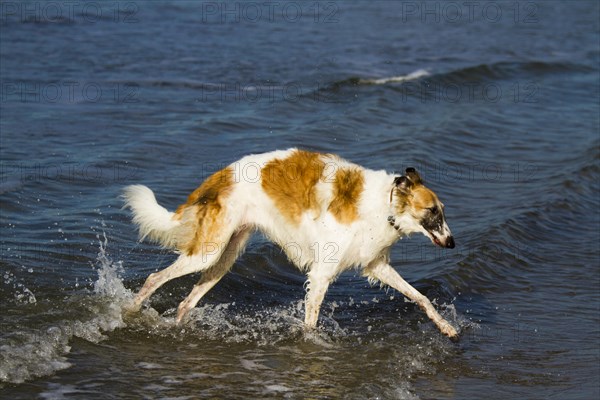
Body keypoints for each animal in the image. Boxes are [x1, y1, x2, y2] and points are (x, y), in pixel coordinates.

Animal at [124, 148, 458, 340]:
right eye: (433, 211)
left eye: (442, 210)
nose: (452, 243)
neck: (385, 205)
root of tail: (223, 174)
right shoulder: (322, 273)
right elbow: (310, 322)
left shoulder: (376, 265)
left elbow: (421, 298)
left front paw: (447, 328)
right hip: (207, 253)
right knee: (154, 278)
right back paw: (128, 313)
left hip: (223, 258)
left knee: (186, 302)